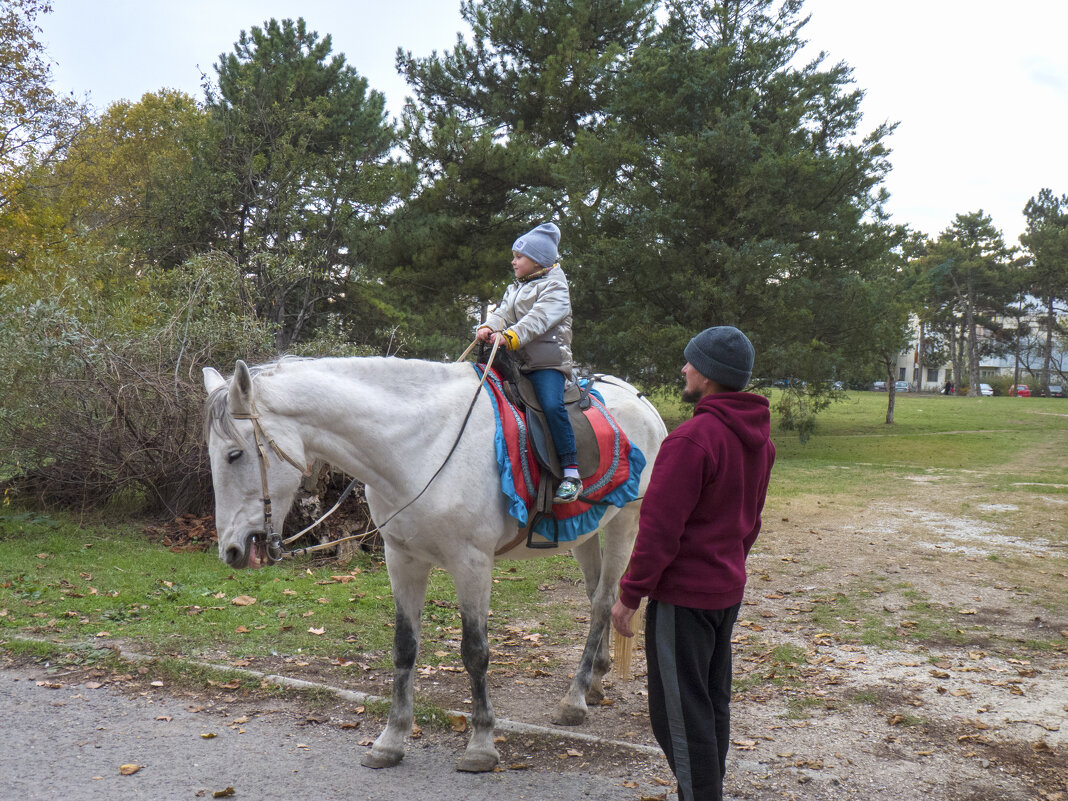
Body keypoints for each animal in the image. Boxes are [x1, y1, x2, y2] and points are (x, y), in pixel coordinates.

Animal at [200, 356, 662, 773]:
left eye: (235, 455)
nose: (232, 551)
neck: (421, 447)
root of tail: (645, 405)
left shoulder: (471, 564)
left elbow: (475, 652)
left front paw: (481, 745)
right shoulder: (402, 560)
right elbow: (405, 648)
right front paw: (390, 741)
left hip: (626, 521)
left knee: (603, 602)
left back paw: (575, 699)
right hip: (585, 532)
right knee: (595, 597)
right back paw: (596, 681)